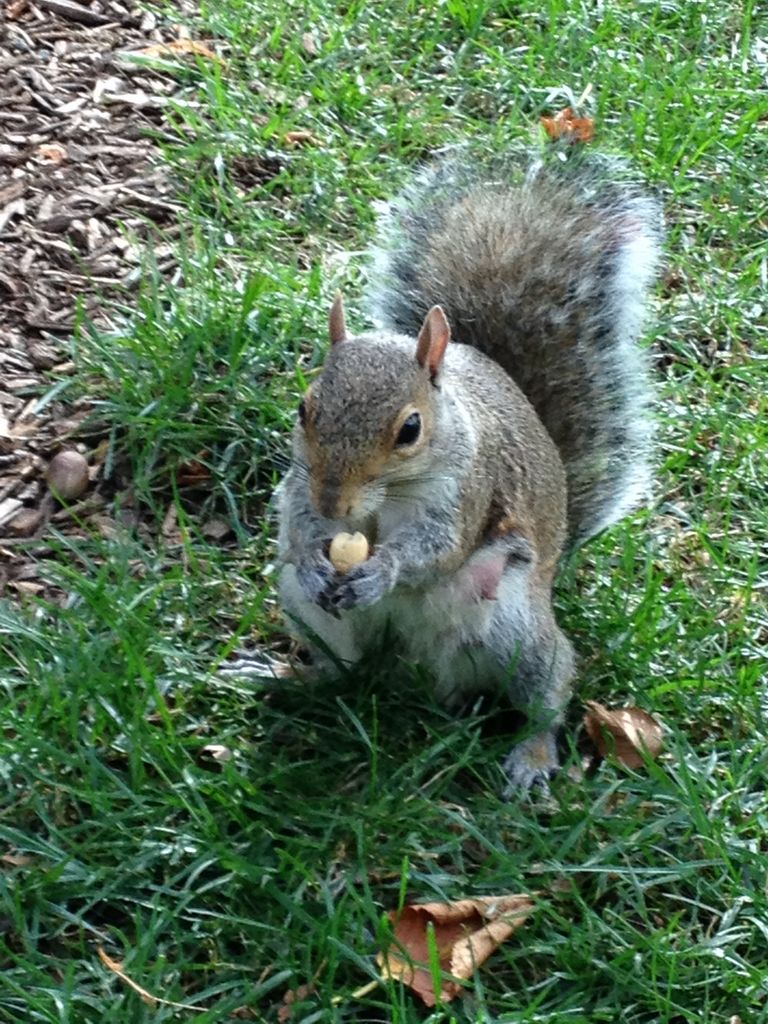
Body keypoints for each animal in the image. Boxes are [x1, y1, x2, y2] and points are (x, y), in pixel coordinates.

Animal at [275, 142, 663, 792]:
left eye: (410, 430)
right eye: (304, 408)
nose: (335, 503)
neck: (385, 498)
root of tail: (416, 673)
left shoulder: (468, 490)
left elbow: (437, 548)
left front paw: (384, 570)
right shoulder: (302, 483)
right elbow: (298, 520)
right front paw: (310, 556)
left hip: (518, 631)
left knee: (548, 689)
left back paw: (531, 757)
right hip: (317, 621)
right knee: (343, 667)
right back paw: (290, 677)